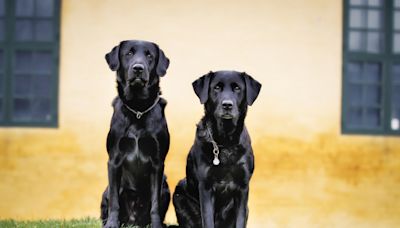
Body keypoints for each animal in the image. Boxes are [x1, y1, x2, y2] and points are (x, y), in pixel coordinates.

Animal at [101, 40, 171, 228]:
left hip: (166, 187)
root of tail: (133, 221)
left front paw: (156, 225)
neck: (138, 108)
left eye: (149, 55)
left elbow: (154, 203)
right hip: (106, 191)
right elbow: (114, 202)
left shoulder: (158, 163)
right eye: (129, 53)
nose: (138, 68)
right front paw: (112, 224)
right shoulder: (114, 160)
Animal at [173, 71, 260, 228]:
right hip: (178, 193)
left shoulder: (243, 187)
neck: (226, 141)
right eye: (217, 88)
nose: (227, 105)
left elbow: (239, 220)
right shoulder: (206, 187)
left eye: (237, 88)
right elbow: (207, 220)